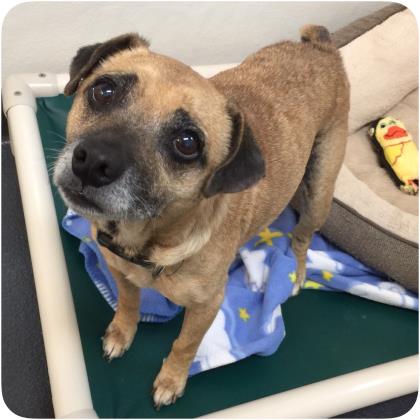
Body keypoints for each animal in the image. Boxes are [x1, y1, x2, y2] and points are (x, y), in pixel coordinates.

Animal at [54, 25, 350, 406]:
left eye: (187, 143)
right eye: (103, 91)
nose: (93, 161)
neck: (150, 241)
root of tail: (321, 47)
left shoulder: (207, 308)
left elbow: (185, 345)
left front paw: (171, 380)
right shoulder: (120, 272)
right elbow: (128, 305)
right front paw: (121, 333)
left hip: (318, 193)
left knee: (302, 236)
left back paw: (297, 273)